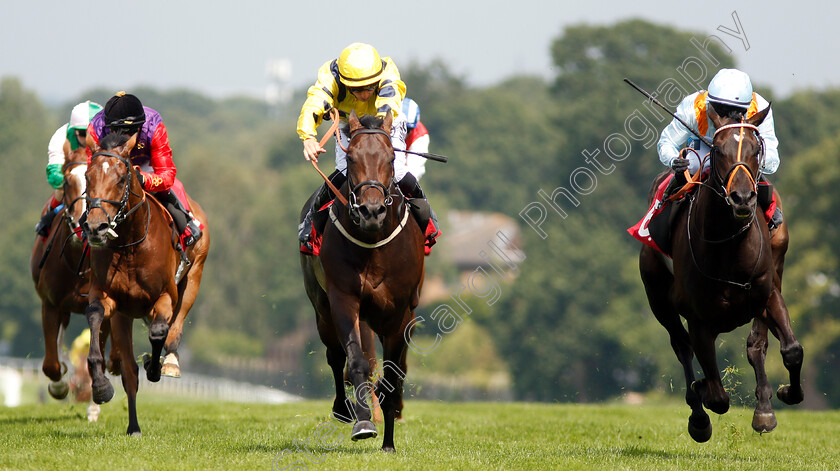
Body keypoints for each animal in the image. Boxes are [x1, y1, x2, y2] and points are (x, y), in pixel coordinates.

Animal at [83, 132, 210, 436]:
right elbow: (95, 317)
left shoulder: (165, 296)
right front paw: (101, 387)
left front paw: (155, 365)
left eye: (121, 179)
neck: (131, 245)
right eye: (87, 176)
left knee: (173, 329)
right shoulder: (109, 299)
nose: (96, 227)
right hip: (124, 317)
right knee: (130, 373)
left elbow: (159, 331)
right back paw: (134, 426)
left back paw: (170, 363)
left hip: (194, 275)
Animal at [300, 111, 426, 454]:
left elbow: (393, 374)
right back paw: (344, 409)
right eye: (351, 158)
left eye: (392, 157)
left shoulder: (400, 312)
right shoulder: (343, 299)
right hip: (321, 309)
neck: (373, 244)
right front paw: (364, 422)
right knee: (335, 356)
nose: (371, 210)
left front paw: (389, 442)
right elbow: (356, 361)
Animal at [640, 105, 804, 444]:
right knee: (682, 346)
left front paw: (784, 394)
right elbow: (717, 395)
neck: (729, 246)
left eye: (757, 148)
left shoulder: (768, 295)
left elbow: (791, 350)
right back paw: (698, 411)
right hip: (657, 296)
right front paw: (701, 396)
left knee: (756, 345)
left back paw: (763, 408)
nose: (742, 197)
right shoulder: (698, 319)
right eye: (717, 149)